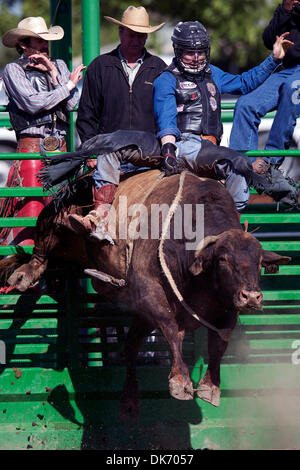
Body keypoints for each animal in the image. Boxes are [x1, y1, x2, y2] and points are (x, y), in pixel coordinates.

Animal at [0, 172, 290, 414]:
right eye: (223, 260)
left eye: (259, 261)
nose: (251, 297)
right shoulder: (150, 292)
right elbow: (171, 327)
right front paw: (181, 380)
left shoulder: (226, 307)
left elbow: (219, 343)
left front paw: (210, 387)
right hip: (57, 214)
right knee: (42, 244)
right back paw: (26, 273)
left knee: (130, 347)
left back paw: (130, 398)